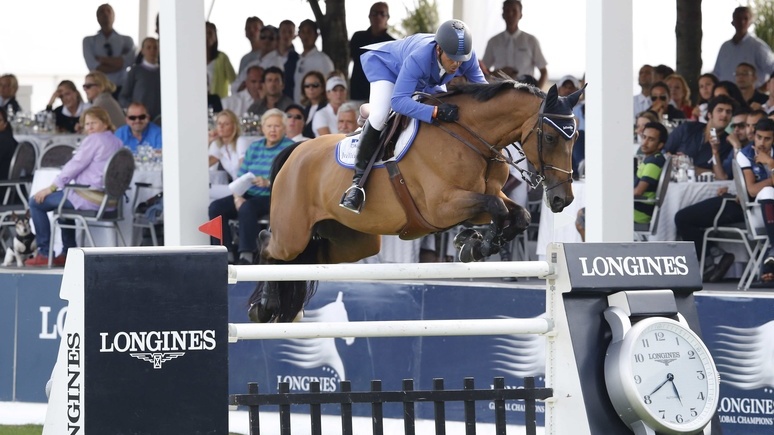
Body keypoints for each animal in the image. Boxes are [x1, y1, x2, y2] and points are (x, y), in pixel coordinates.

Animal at [252, 79, 584, 324]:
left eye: (576, 137)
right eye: (551, 138)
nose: (561, 199)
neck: (472, 139)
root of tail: (296, 151)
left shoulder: (482, 197)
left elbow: (517, 215)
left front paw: (473, 243)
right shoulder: (441, 207)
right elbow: (497, 208)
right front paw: (476, 243)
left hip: (353, 240)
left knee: (307, 259)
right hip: (293, 233)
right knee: (268, 243)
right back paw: (264, 306)